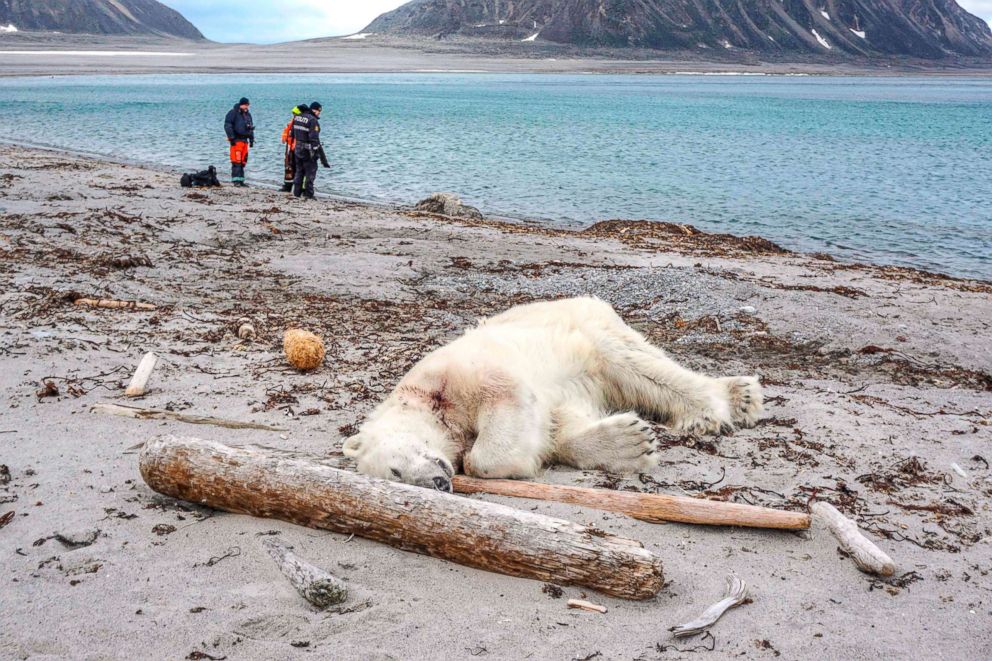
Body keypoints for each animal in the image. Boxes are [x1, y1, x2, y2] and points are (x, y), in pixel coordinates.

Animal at [344, 298, 764, 490]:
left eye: (395, 470)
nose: (438, 482)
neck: (425, 402)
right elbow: (557, 425)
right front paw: (628, 442)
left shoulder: (453, 374)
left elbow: (502, 408)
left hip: (587, 329)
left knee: (639, 366)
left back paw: (726, 403)